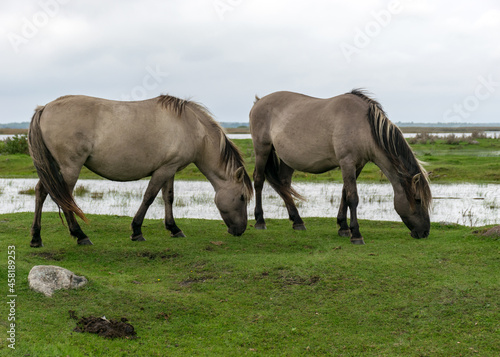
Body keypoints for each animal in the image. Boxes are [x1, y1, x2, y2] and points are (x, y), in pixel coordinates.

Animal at [27, 93, 254, 246]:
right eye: (242, 197)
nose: (241, 230)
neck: (191, 127)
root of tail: (45, 108)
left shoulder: (170, 168)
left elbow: (168, 197)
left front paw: (174, 228)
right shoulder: (163, 170)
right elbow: (149, 197)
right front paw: (137, 231)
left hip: (54, 168)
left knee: (41, 192)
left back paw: (36, 237)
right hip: (69, 168)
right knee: (63, 198)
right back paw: (80, 235)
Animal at [252, 89, 432, 245]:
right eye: (417, 200)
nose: (424, 232)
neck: (363, 126)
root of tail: (259, 101)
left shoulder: (357, 166)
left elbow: (345, 193)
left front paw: (343, 227)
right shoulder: (347, 162)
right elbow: (353, 197)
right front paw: (356, 234)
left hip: (287, 159)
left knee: (284, 184)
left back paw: (297, 221)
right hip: (262, 150)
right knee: (259, 180)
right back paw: (260, 221)